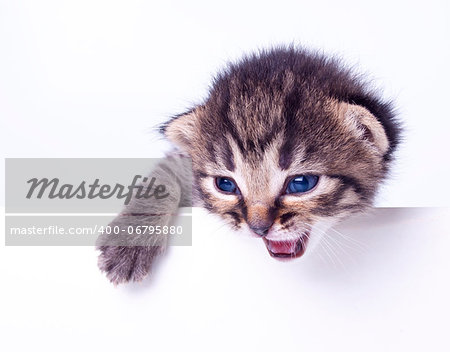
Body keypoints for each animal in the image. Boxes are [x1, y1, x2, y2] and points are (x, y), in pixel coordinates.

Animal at [97, 46, 400, 284]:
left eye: (301, 183)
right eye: (225, 184)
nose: (258, 228)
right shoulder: (181, 163)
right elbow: (161, 179)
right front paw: (128, 243)